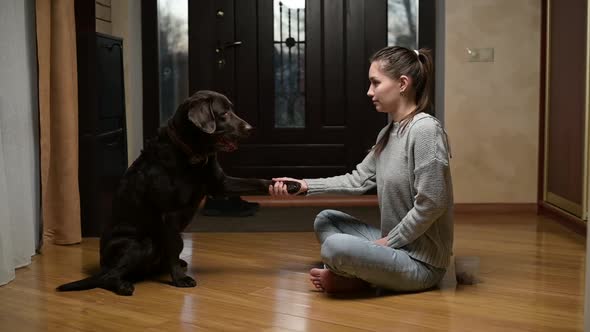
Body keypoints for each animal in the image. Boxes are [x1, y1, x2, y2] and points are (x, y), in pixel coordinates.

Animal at [57, 90, 300, 296]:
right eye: (224, 113)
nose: (250, 128)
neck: (192, 153)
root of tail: (102, 264)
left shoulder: (221, 184)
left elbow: (256, 181)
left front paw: (289, 185)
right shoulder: (169, 214)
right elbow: (172, 248)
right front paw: (180, 279)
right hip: (141, 244)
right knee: (109, 276)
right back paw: (124, 285)